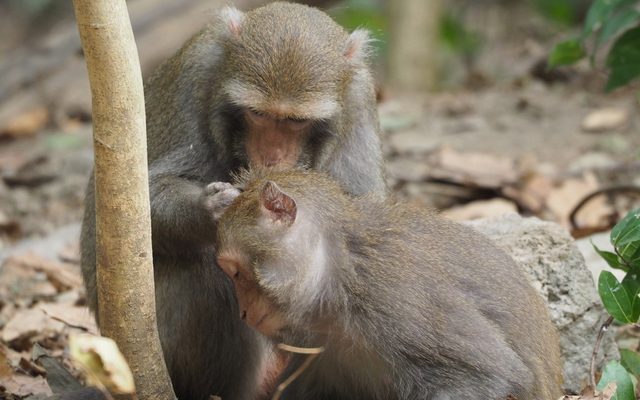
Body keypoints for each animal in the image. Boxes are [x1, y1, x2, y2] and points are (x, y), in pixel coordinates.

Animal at [79, 2, 385, 400]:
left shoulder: (359, 98)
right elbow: (140, 203)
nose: (271, 156)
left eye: (295, 121)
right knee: (201, 271)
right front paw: (213, 210)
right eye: (257, 114)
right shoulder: (194, 78)